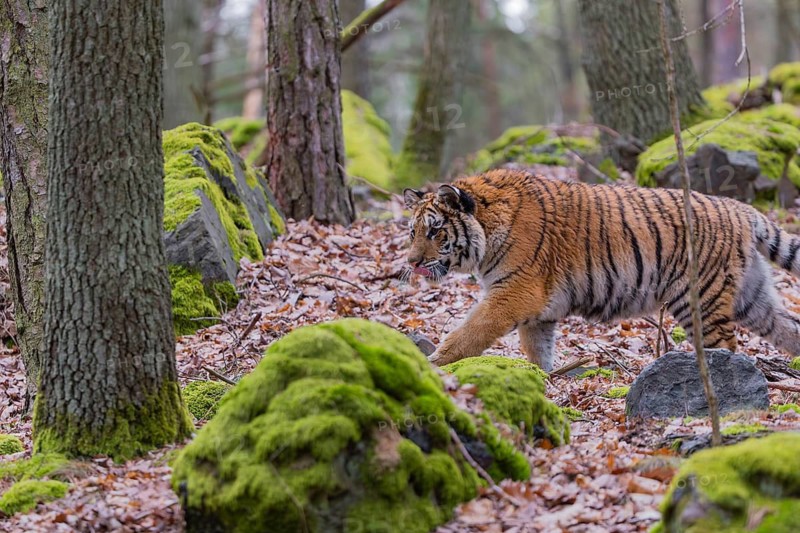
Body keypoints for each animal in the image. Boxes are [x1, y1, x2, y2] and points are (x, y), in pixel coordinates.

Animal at [403, 169, 800, 371]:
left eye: (435, 231)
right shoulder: (537, 312)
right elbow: (538, 350)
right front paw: (543, 381)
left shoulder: (514, 293)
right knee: (789, 326)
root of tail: (741, 209)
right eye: (413, 232)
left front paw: (436, 361)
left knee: (727, 346)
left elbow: (470, 330)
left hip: (701, 298)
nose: (412, 263)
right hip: (751, 298)